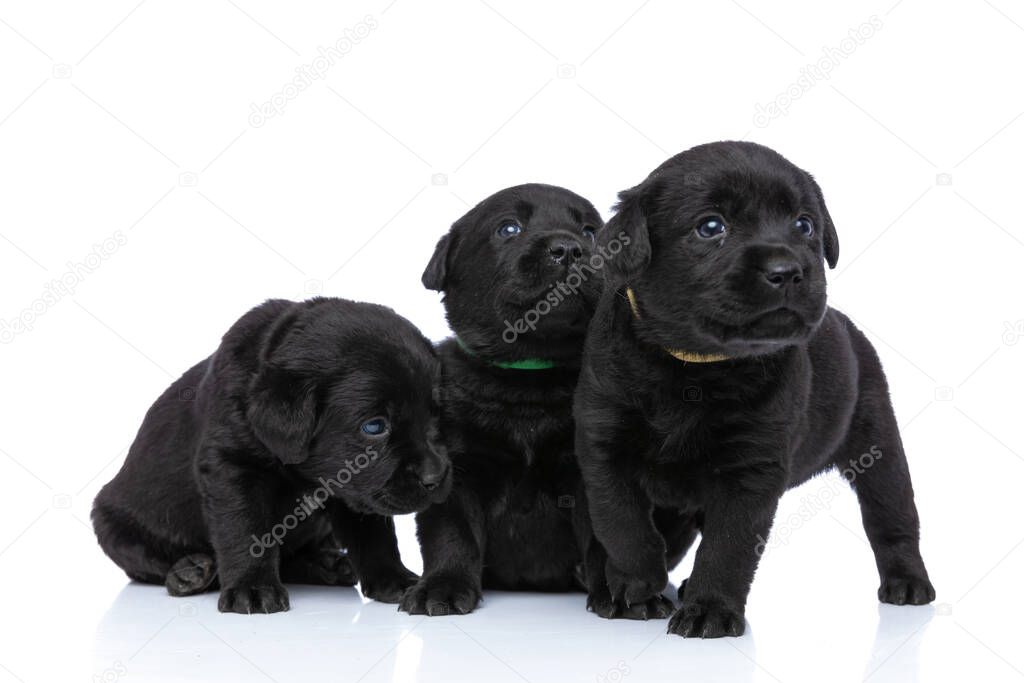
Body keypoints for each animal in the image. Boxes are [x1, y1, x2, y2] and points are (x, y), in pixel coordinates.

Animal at [94, 299, 450, 614]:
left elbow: (375, 536)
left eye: (436, 414)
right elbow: (247, 531)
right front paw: (252, 589)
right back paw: (188, 572)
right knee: (147, 560)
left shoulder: (357, 491)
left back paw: (329, 564)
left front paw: (395, 580)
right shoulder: (233, 468)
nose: (436, 477)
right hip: (110, 523)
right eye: (374, 426)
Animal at [401, 184, 655, 618]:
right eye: (509, 228)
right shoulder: (455, 472)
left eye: (590, 232)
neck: (528, 379)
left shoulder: (590, 470)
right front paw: (442, 587)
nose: (568, 249)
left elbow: (607, 536)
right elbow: (452, 532)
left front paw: (622, 590)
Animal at [577, 141, 937, 638]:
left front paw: (710, 608)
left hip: (879, 446)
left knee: (893, 519)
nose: (788, 270)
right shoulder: (605, 448)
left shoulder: (751, 468)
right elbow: (623, 525)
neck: (696, 368)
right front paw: (635, 588)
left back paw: (908, 582)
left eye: (804, 225)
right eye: (711, 227)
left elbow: (729, 545)